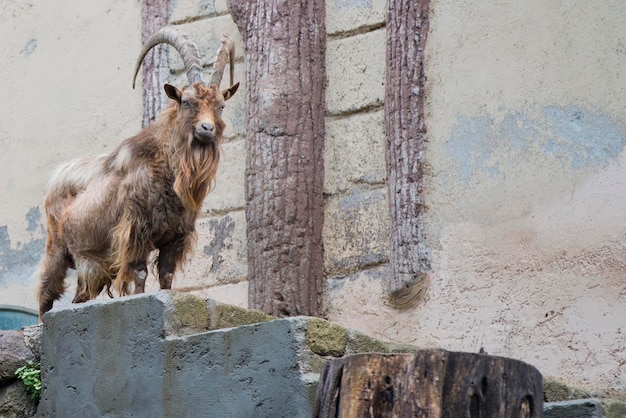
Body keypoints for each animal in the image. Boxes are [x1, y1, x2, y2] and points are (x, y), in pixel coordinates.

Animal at [37, 27, 239, 318]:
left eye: (221, 106)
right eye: (186, 102)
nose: (207, 129)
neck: (166, 174)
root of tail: (54, 181)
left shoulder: (174, 238)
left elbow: (166, 277)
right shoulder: (136, 230)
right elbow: (141, 275)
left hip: (89, 264)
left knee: (79, 296)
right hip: (57, 248)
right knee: (45, 293)